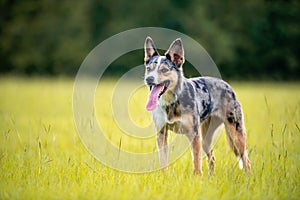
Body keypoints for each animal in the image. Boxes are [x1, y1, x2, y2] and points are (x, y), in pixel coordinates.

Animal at [143, 36, 251, 174]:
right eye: (149, 69)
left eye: (164, 70)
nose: (149, 79)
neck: (172, 102)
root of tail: (228, 86)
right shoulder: (161, 134)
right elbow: (163, 162)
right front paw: (163, 176)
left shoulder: (194, 135)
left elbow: (196, 162)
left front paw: (197, 177)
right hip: (206, 138)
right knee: (212, 158)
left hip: (235, 134)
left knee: (246, 160)